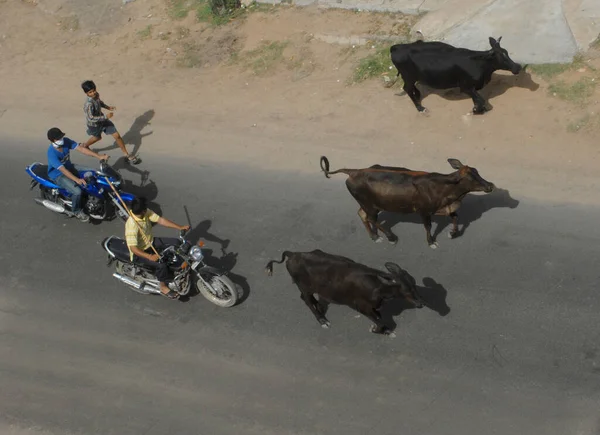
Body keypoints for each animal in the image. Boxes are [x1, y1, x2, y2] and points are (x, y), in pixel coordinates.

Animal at [322, 156, 494, 249]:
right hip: (370, 206)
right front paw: (431, 242)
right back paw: (390, 237)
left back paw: (374, 236)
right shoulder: (424, 211)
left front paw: (452, 233)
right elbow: (428, 226)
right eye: (471, 178)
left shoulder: (445, 207)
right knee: (370, 218)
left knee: (362, 215)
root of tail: (354, 171)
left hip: (367, 204)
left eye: (477, 172)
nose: (490, 185)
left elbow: (456, 217)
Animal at [390, 36, 520, 114]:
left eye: (507, 53)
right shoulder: (465, 86)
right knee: (407, 88)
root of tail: (396, 47)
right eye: (502, 58)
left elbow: (477, 99)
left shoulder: (471, 88)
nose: (517, 67)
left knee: (411, 87)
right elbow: (480, 99)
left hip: (411, 77)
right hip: (408, 76)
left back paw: (417, 95)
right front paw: (476, 110)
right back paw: (420, 108)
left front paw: (479, 109)